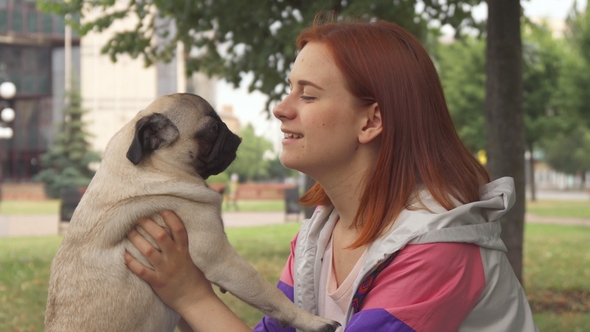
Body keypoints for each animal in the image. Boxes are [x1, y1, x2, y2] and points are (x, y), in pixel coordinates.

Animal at [44, 93, 340, 332]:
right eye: (212, 128)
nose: (234, 135)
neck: (153, 169)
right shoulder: (220, 257)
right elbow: (269, 293)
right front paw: (314, 322)